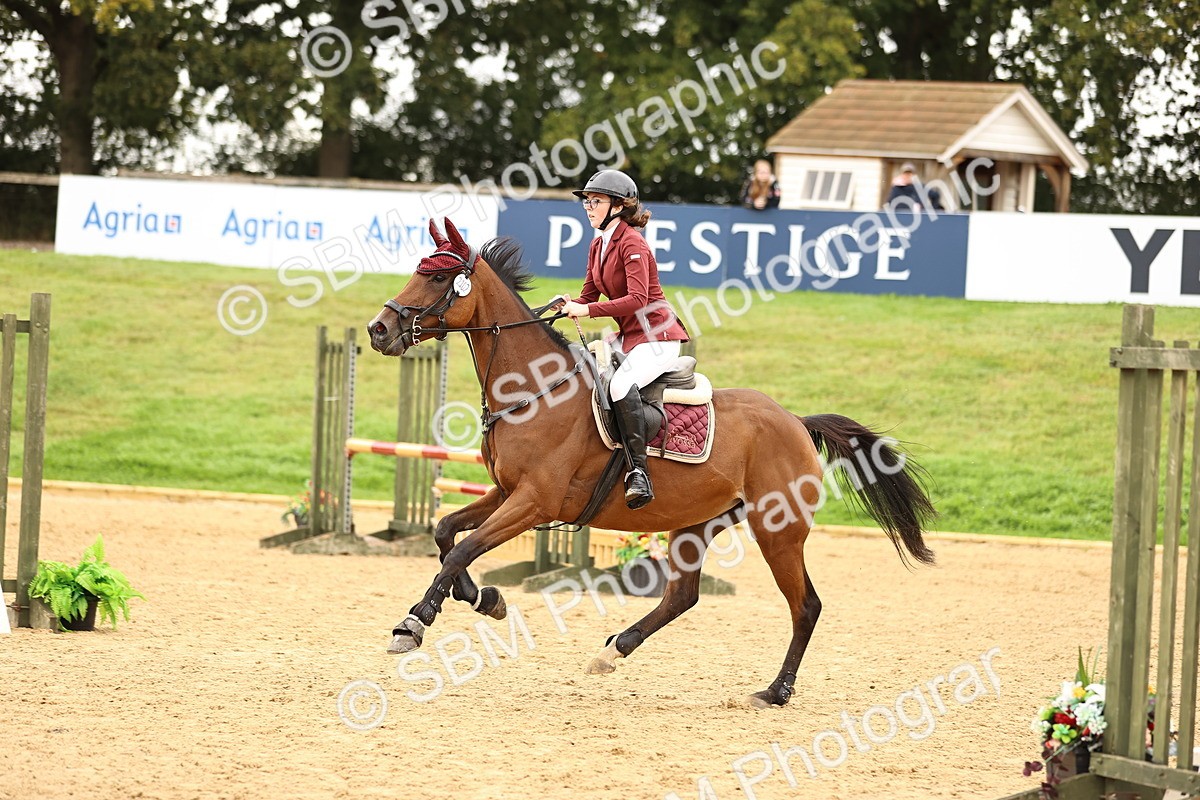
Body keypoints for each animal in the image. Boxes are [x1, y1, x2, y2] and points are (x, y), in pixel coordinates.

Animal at [367, 218, 936, 707]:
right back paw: (612, 652)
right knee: (683, 595)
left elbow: (464, 550)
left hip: (778, 530)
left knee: (805, 606)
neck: (532, 390)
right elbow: (445, 532)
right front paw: (485, 598)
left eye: (438, 276)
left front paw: (413, 624)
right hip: (698, 522)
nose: (378, 330)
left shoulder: (533, 502)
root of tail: (796, 420)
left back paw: (774, 692)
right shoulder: (506, 493)